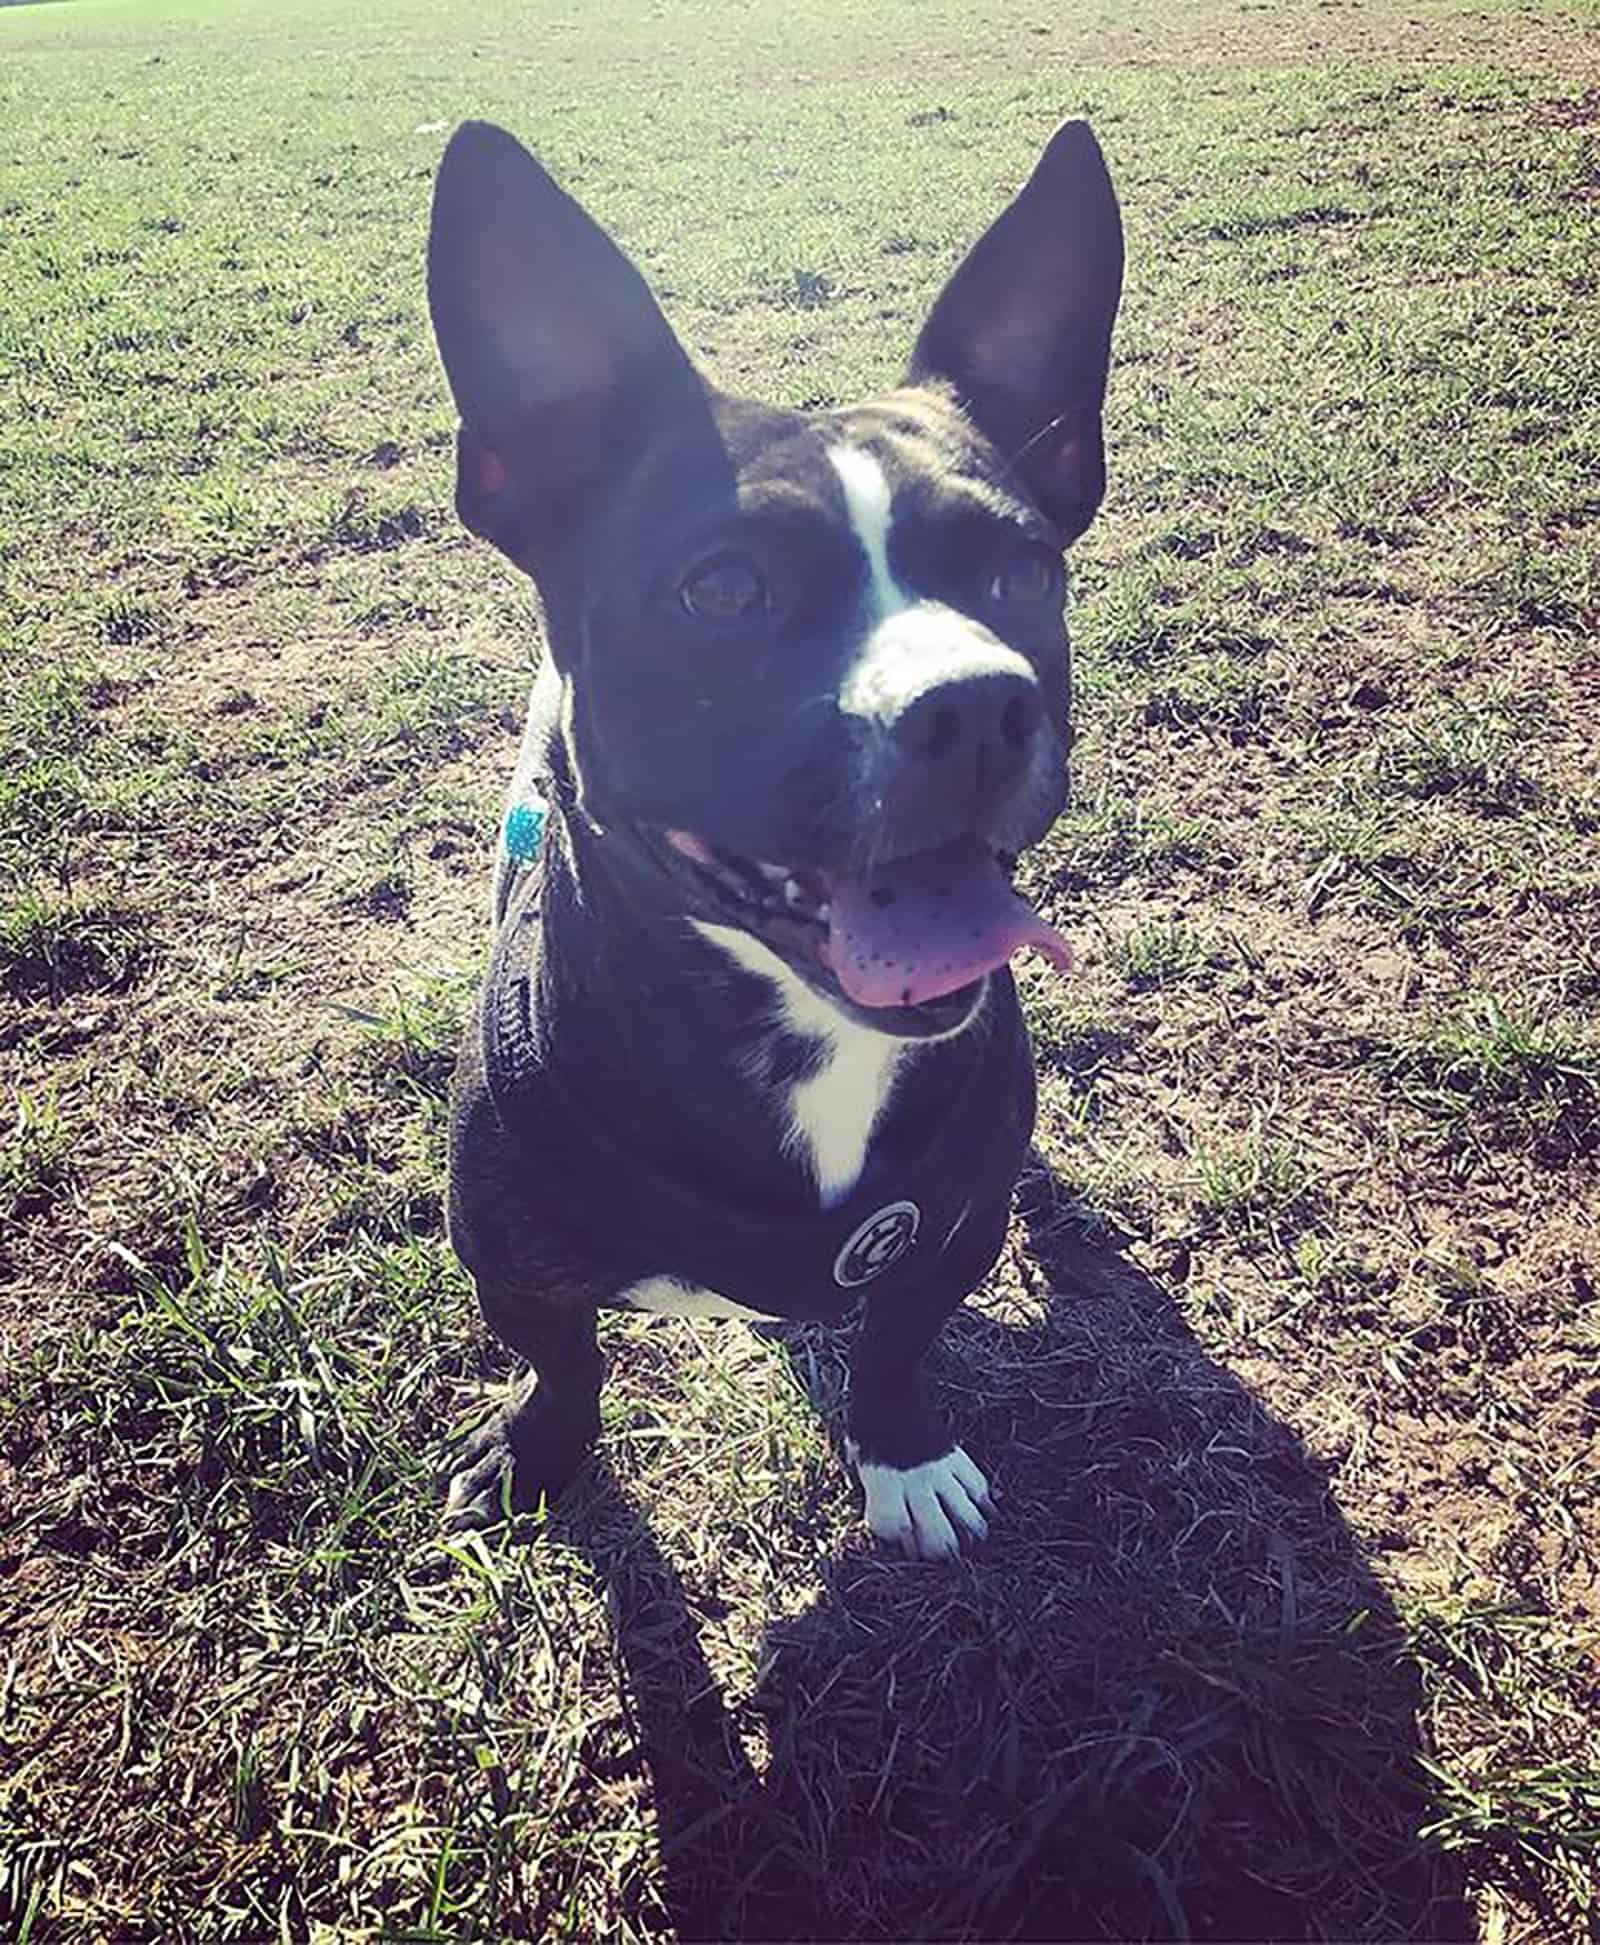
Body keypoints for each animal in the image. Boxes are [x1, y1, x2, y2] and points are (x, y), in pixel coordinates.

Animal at [431, 117, 1119, 1563]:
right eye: (725, 590)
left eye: (1024, 572)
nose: (974, 701)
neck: (804, 1039)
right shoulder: (511, 1261)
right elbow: (565, 1360)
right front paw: (538, 1451)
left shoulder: (944, 1238)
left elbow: (899, 1345)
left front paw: (903, 1453)